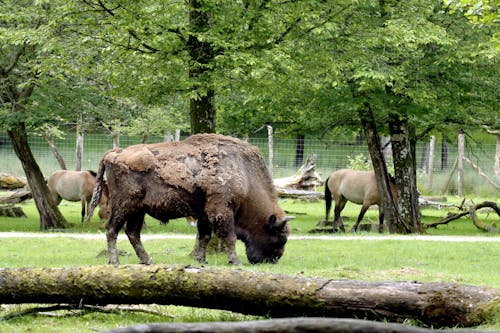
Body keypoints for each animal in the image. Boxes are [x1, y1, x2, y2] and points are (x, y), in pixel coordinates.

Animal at [87, 132, 292, 264]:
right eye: (280, 238)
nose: (273, 260)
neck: (245, 174)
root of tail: (115, 152)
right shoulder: (222, 210)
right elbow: (229, 237)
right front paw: (235, 261)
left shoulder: (205, 213)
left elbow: (204, 236)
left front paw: (202, 260)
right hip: (123, 205)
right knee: (112, 229)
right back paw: (115, 261)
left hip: (138, 210)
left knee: (132, 232)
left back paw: (147, 260)